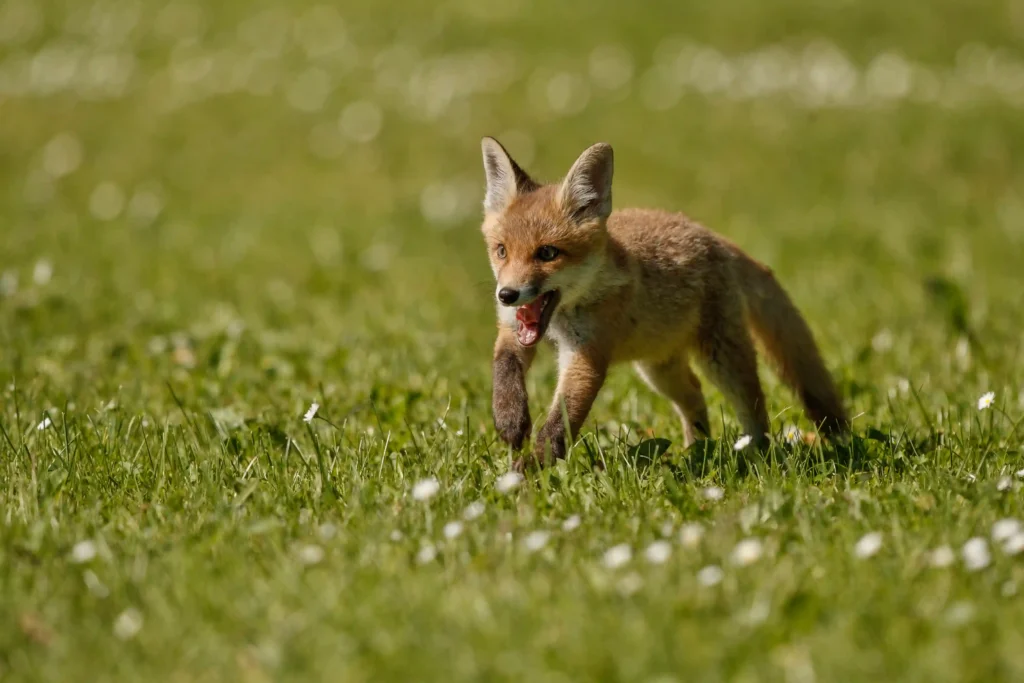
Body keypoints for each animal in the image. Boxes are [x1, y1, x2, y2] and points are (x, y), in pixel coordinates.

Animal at [479, 136, 849, 470]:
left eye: (547, 253)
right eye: (502, 251)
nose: (507, 294)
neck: (562, 316)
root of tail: (711, 236)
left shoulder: (587, 354)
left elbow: (561, 420)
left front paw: (530, 470)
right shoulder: (512, 328)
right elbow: (504, 366)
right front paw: (510, 420)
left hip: (720, 358)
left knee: (754, 406)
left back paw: (755, 453)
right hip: (658, 369)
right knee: (695, 395)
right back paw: (696, 451)